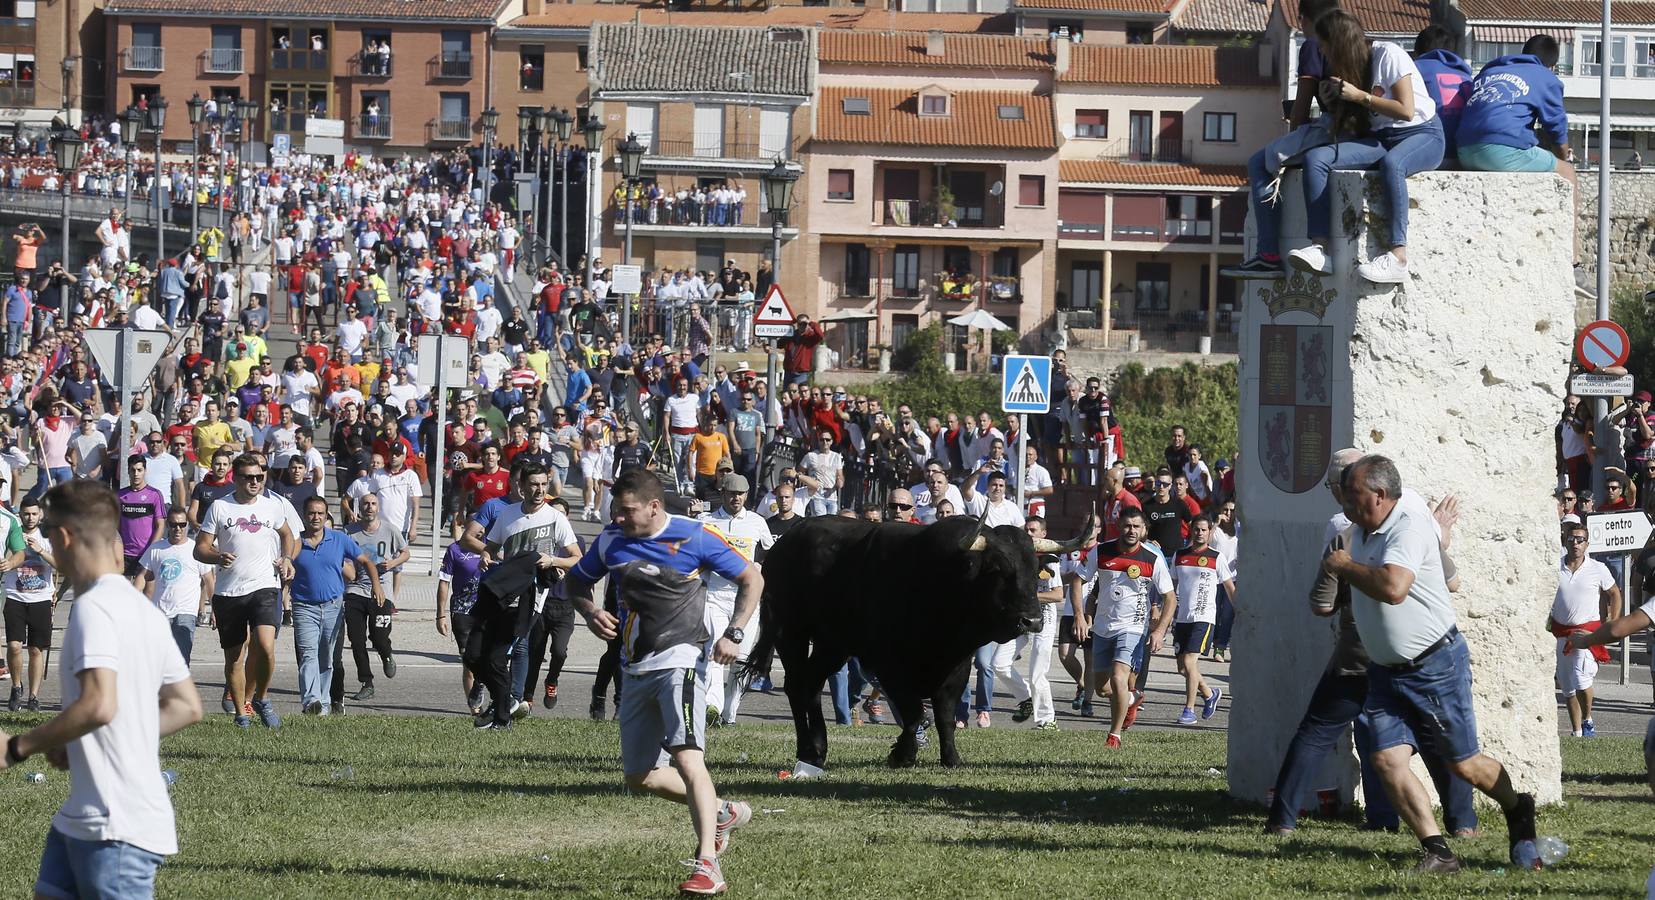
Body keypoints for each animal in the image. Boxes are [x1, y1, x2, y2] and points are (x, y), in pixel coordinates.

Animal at [748, 509, 1085, 770]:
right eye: (998, 568)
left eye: (1035, 571)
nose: (1033, 621)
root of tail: (784, 543)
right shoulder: (888, 664)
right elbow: (914, 713)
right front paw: (903, 755)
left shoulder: (958, 666)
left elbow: (945, 715)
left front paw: (951, 758)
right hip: (790, 630)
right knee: (796, 685)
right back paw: (806, 749)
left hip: (832, 643)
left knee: (812, 685)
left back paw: (819, 748)